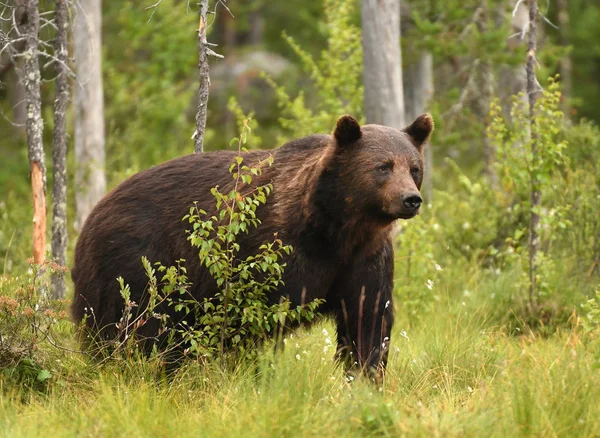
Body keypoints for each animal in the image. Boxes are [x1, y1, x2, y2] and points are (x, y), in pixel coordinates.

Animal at [72, 114, 434, 376]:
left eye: (414, 167)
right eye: (383, 167)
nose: (411, 199)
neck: (335, 229)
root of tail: (91, 216)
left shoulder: (365, 260)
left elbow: (368, 320)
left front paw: (365, 376)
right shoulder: (272, 252)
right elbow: (249, 318)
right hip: (136, 264)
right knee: (135, 328)